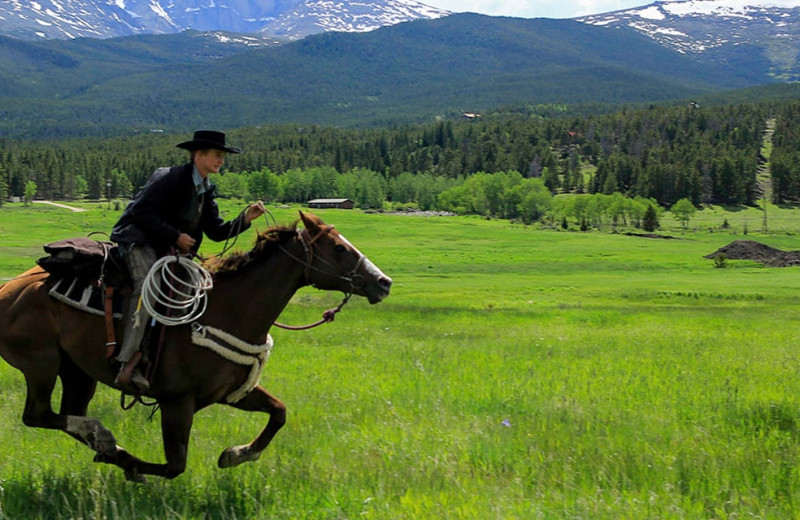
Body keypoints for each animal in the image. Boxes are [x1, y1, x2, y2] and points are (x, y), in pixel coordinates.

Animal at [0, 210, 390, 480]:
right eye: (338, 247)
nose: (383, 282)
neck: (230, 309)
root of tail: (10, 288)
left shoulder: (231, 392)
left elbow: (279, 412)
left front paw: (236, 454)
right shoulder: (177, 402)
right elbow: (175, 465)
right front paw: (133, 467)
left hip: (77, 371)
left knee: (67, 413)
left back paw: (105, 442)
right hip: (41, 364)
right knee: (38, 415)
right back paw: (106, 440)